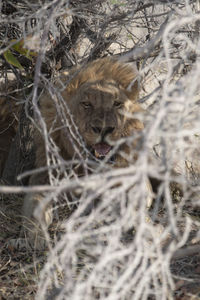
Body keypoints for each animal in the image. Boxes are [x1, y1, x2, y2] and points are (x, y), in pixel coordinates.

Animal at [0, 57, 152, 250]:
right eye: (87, 104)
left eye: (117, 104)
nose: (104, 129)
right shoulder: (44, 179)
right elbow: (35, 209)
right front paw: (34, 238)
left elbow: (138, 200)